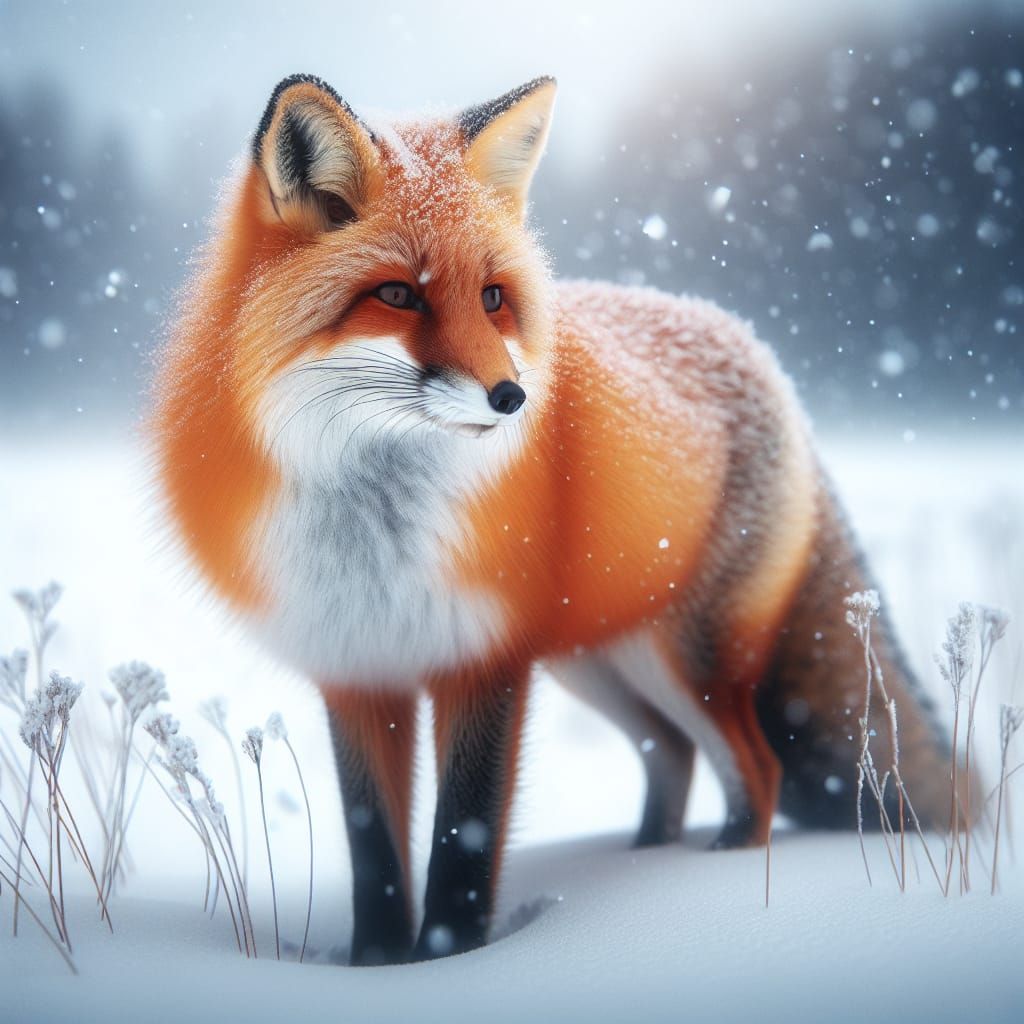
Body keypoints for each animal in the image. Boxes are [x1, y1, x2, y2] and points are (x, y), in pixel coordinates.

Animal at [153, 74, 959, 965]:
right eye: (397, 294)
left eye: (493, 298)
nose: (512, 397)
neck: (375, 541)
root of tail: (755, 349)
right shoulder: (358, 667)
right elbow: (375, 854)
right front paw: (379, 966)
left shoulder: (485, 659)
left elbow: (463, 837)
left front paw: (453, 958)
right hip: (600, 662)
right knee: (674, 753)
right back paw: (644, 855)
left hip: (686, 658)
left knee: (754, 765)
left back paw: (713, 875)